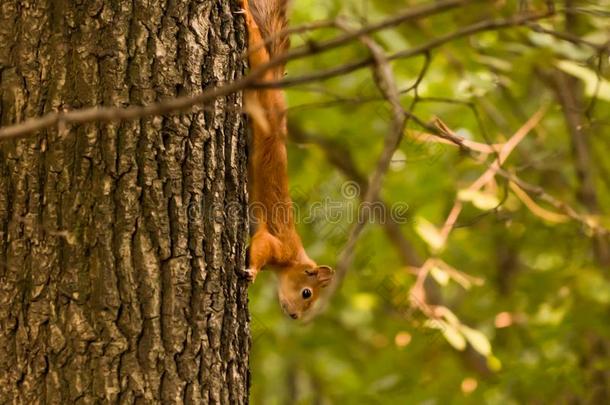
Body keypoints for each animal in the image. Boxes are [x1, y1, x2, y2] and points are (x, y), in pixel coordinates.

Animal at [240, 0, 332, 318]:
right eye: (307, 293)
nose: (294, 316)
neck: (294, 259)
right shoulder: (278, 245)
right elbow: (261, 246)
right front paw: (252, 273)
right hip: (260, 77)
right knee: (257, 50)